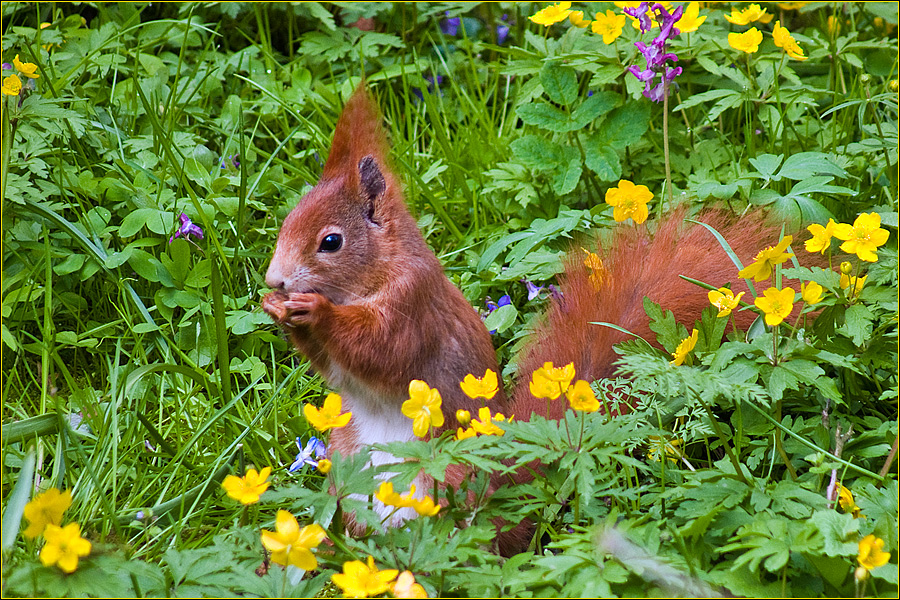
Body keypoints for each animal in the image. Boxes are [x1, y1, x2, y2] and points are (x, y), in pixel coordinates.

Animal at [260, 85, 808, 548]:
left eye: (331, 241)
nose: (274, 280)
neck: (375, 275)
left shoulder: (413, 306)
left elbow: (380, 348)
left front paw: (313, 311)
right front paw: (277, 311)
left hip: (449, 482)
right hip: (347, 468)